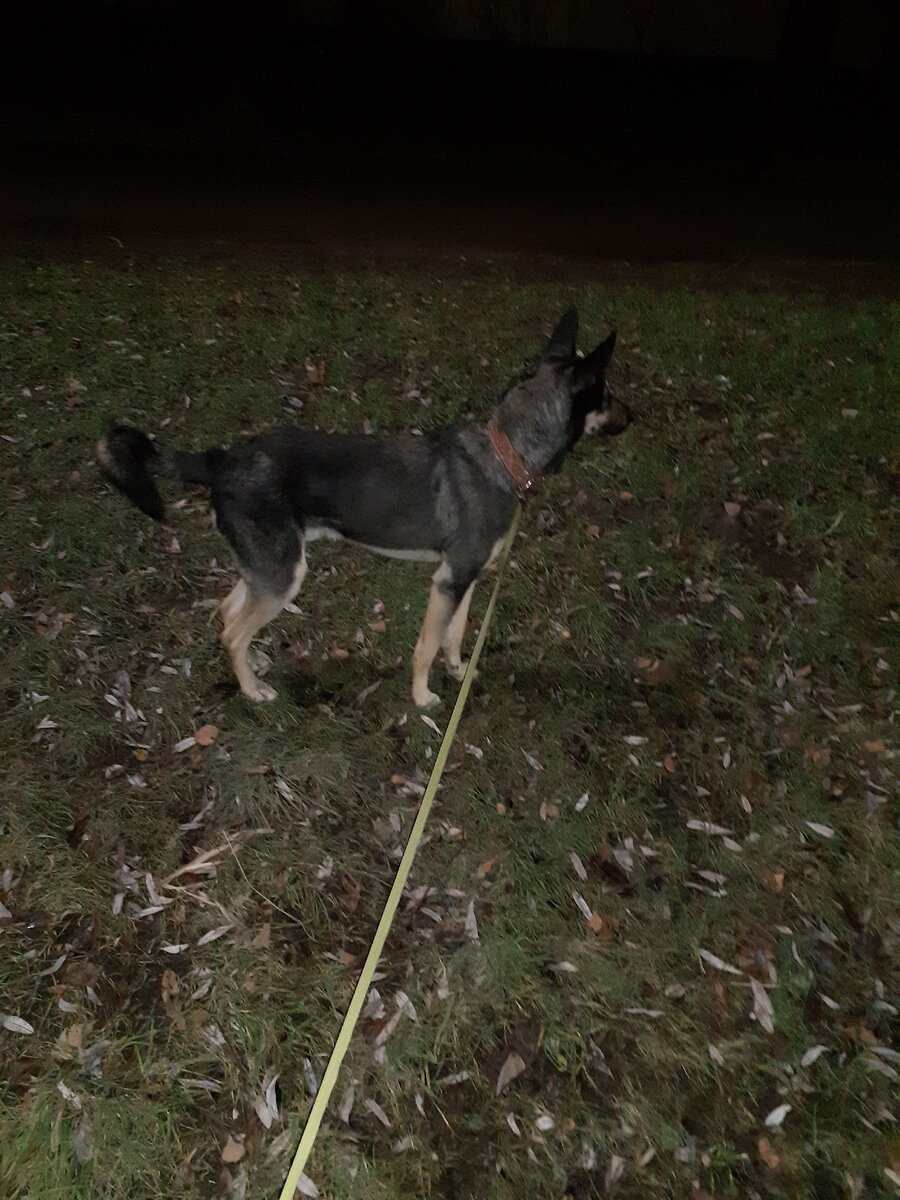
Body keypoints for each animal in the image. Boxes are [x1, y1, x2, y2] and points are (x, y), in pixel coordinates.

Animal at [97, 307, 631, 705]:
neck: (506, 453)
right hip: (284, 573)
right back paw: (253, 690)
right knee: (233, 630)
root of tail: (221, 459)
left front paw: (459, 672)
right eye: (607, 394)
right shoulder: (448, 580)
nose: (635, 415)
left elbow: (455, 636)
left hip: (269, 567)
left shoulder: (467, 578)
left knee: (229, 613)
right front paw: (422, 699)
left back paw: (254, 663)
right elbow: (426, 645)